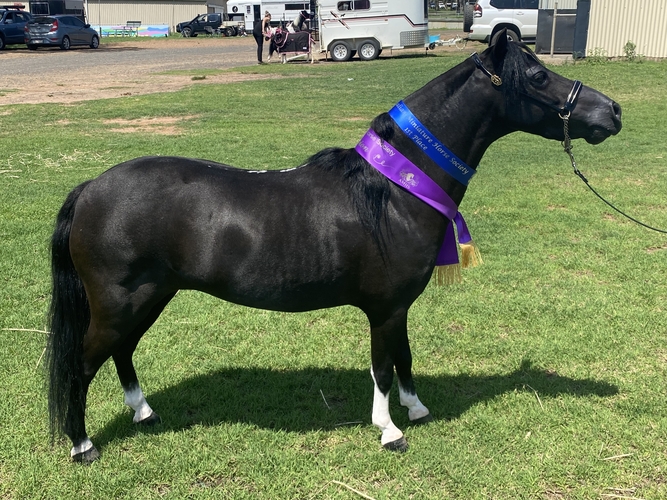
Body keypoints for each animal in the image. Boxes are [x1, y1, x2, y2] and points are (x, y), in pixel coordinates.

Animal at [47, 33, 622, 463]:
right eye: (539, 76)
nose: (612, 111)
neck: (391, 191)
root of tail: (90, 188)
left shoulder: (397, 308)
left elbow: (404, 358)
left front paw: (416, 409)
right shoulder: (383, 308)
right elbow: (383, 366)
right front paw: (390, 431)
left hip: (147, 298)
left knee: (123, 352)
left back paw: (144, 414)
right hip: (120, 303)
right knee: (82, 365)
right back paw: (82, 445)